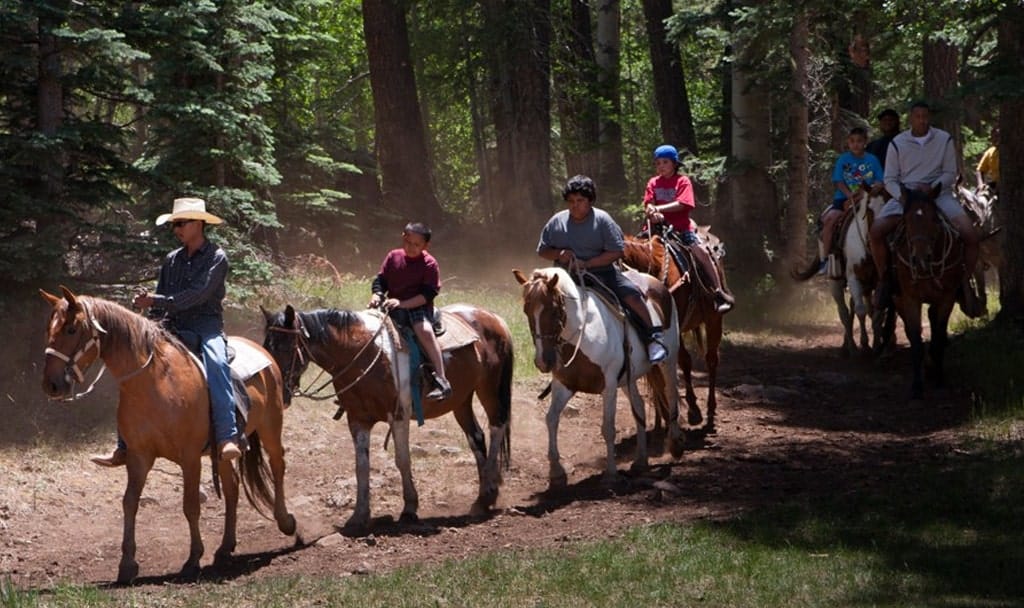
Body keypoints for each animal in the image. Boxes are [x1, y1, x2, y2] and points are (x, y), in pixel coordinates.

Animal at [38, 286, 296, 585]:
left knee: (278, 465)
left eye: (71, 329)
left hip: (271, 427)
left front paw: (193, 559)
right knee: (232, 487)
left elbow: (190, 505)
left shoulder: (190, 457)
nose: (51, 385)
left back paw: (286, 522)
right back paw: (225, 548)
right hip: (221, 451)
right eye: (49, 328)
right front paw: (127, 564)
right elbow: (129, 503)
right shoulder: (138, 456)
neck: (157, 382)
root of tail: (261, 351)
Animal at [258, 300, 509, 532]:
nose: (279, 391)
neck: (362, 353)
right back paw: (483, 499)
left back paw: (488, 489)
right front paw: (359, 516)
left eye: (285, 347)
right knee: (476, 438)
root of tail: (493, 317)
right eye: (266, 345)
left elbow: (402, 459)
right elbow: (361, 465)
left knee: (497, 427)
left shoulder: (398, 415)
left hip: (489, 388)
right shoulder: (358, 420)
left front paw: (409, 508)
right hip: (462, 399)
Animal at [509, 266, 679, 487]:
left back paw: (675, 445)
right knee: (639, 407)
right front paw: (556, 472)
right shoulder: (564, 384)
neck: (584, 335)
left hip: (669, 360)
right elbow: (551, 419)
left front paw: (611, 474)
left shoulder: (609, 386)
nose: (543, 361)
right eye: (526, 310)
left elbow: (608, 428)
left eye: (554, 310)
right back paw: (641, 461)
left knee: (672, 394)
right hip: (628, 378)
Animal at [892, 187, 962, 399]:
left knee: (933, 319)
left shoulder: (947, 297)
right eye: (906, 219)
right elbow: (915, 340)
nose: (921, 258)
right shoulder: (910, 298)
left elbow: (938, 336)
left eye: (934, 218)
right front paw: (917, 386)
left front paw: (939, 378)